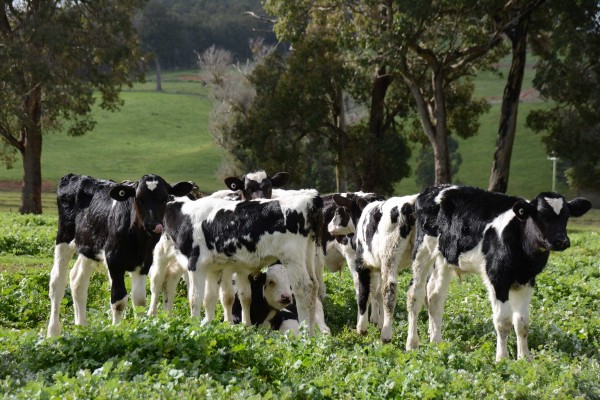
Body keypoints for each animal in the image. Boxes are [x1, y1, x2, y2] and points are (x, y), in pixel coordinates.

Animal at [47, 173, 192, 336]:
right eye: (139, 198)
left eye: (164, 198)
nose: (153, 225)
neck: (137, 239)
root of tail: (74, 176)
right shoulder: (114, 261)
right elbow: (119, 301)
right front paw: (116, 331)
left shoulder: (144, 263)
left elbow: (139, 301)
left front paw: (140, 329)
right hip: (64, 239)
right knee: (57, 283)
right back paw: (52, 332)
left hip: (89, 248)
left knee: (78, 280)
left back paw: (81, 327)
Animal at [148, 193, 326, 334]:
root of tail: (311, 198)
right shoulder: (213, 267)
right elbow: (210, 298)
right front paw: (208, 325)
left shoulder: (195, 264)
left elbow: (194, 298)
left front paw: (194, 326)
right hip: (308, 253)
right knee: (314, 287)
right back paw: (312, 335)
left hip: (292, 256)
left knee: (304, 289)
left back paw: (305, 334)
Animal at [404, 186, 592, 360]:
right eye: (542, 215)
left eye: (566, 216)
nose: (562, 241)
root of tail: (431, 190)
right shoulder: (497, 278)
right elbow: (503, 322)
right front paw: (502, 358)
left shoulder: (527, 281)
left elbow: (522, 323)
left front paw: (525, 358)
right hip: (422, 251)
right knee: (415, 296)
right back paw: (412, 344)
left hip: (444, 259)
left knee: (434, 297)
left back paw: (437, 343)